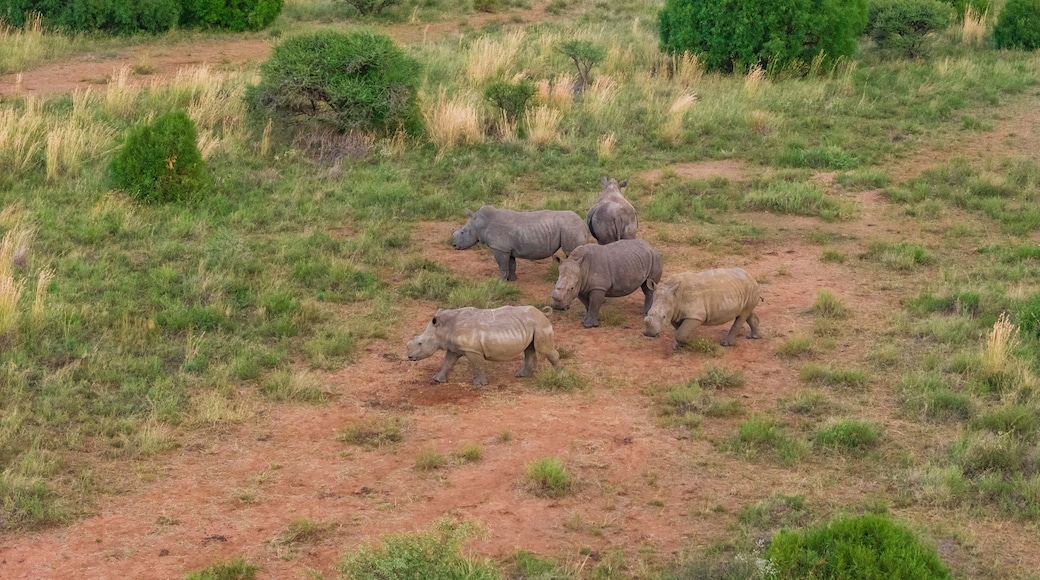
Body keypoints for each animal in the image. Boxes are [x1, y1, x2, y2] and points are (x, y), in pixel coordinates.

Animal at [406, 305, 561, 385]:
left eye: (420, 343)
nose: (409, 357)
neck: (443, 327)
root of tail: (542, 313)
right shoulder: (454, 348)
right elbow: (447, 362)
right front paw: (437, 379)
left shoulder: (472, 350)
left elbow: (477, 365)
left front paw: (479, 384)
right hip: (531, 325)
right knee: (529, 349)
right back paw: (521, 376)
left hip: (540, 324)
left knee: (544, 349)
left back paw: (560, 374)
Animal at [452, 205, 590, 281]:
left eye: (463, 232)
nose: (454, 245)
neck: (481, 223)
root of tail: (584, 224)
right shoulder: (507, 248)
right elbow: (511, 264)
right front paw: (512, 280)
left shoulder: (499, 248)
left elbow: (502, 265)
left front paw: (499, 281)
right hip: (571, 227)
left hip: (570, 228)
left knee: (571, 252)